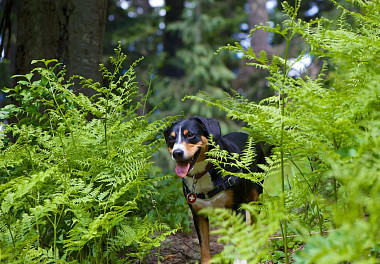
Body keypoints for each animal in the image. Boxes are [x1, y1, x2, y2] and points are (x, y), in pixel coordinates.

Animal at [164, 117, 270, 264]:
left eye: (190, 135)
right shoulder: (198, 214)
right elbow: (204, 245)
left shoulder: (238, 208)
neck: (202, 173)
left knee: (253, 225)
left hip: (255, 198)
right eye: (171, 138)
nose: (177, 153)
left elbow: (240, 239)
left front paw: (241, 259)